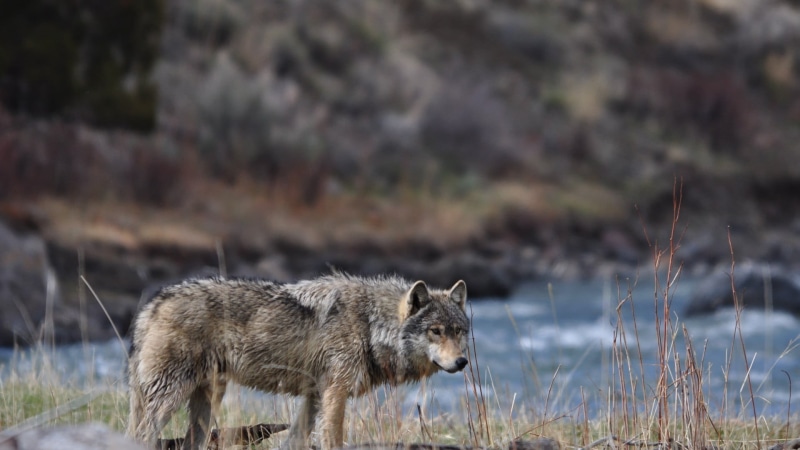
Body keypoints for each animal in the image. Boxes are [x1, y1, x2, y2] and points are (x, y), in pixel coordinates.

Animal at [126, 272, 470, 450]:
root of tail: (153, 305)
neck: (370, 325)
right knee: (141, 436)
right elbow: (333, 440)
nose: (462, 362)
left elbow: (294, 440)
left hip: (205, 403)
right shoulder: (335, 394)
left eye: (459, 331)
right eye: (436, 331)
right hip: (170, 397)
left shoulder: (315, 396)